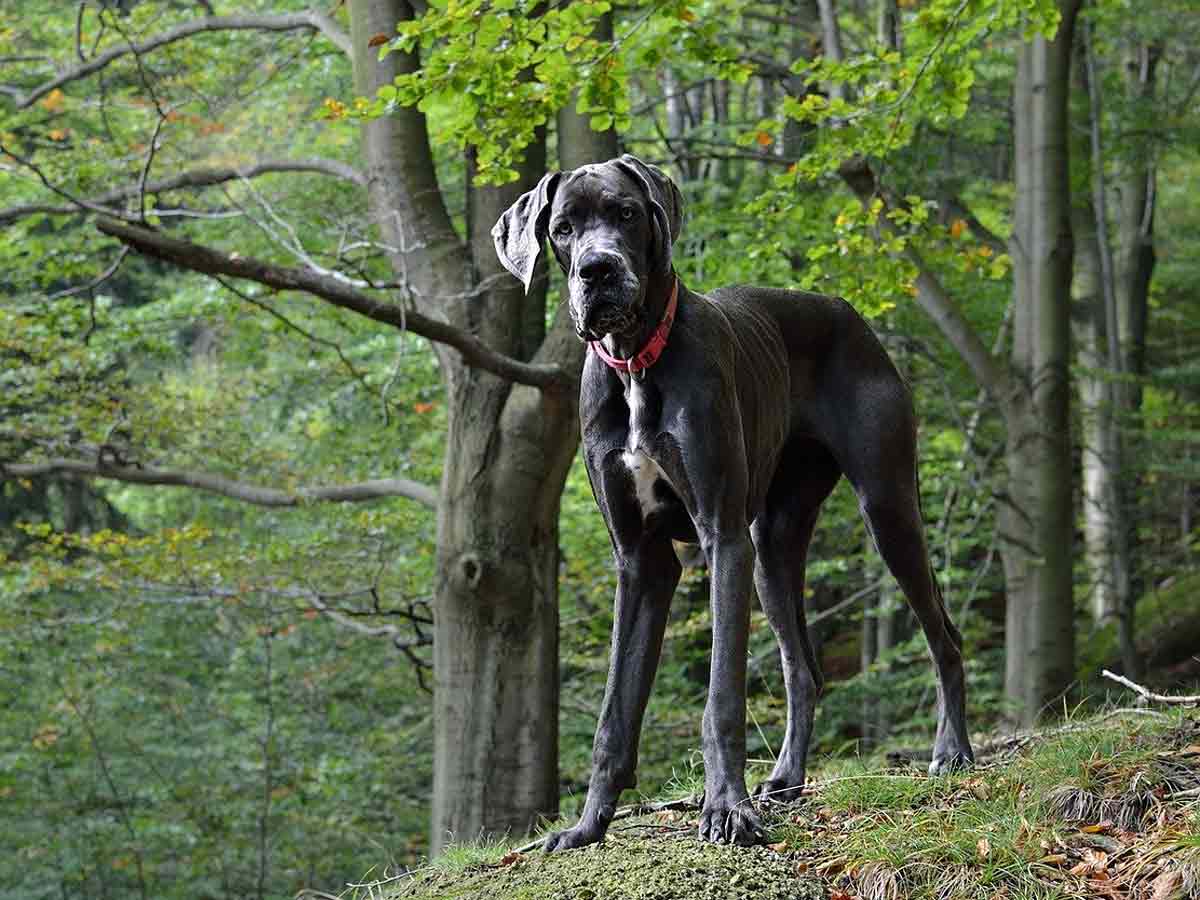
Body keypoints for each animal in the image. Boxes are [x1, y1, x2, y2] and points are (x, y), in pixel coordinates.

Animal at [492, 153, 969, 854]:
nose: (597, 270)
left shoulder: (721, 538)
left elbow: (721, 698)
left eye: (626, 213)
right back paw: (788, 778)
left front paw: (725, 809)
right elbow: (614, 712)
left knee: (944, 637)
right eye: (562, 228)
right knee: (803, 670)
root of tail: (847, 312)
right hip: (771, 548)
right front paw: (586, 827)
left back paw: (952, 751)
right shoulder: (641, 562)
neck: (637, 364)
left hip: (885, 509)